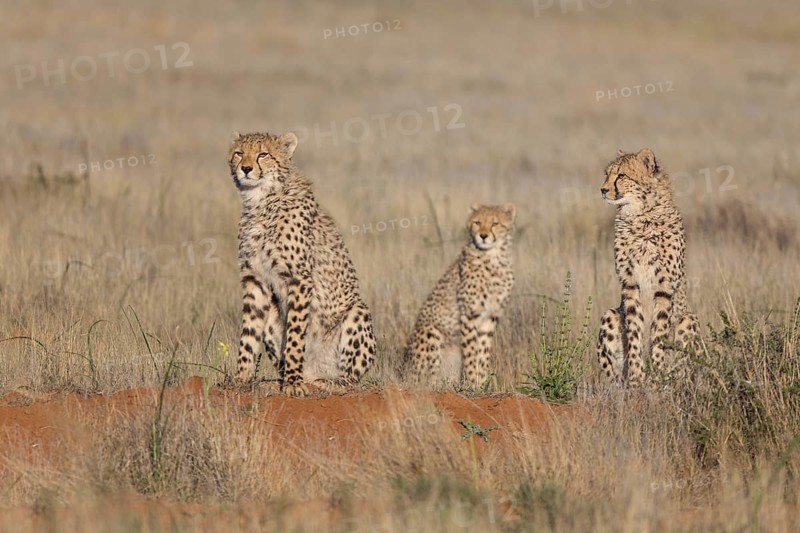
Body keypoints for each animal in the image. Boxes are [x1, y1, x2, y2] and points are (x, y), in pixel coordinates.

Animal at [229, 131, 376, 397]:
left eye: (263, 154)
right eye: (238, 153)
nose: (245, 168)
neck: (261, 200)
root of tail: (315, 373)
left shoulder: (299, 279)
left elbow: (296, 336)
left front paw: (293, 384)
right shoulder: (255, 279)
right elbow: (248, 334)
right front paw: (241, 380)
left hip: (357, 312)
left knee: (350, 379)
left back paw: (328, 384)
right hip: (273, 316)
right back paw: (275, 382)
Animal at [405, 203, 516, 389]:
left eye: (495, 223)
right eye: (477, 222)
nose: (483, 236)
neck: (493, 257)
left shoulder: (490, 316)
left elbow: (482, 353)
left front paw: (481, 383)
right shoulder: (469, 314)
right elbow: (471, 352)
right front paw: (472, 384)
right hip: (431, 333)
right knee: (424, 381)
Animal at [597, 148, 698, 386]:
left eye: (621, 175)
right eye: (607, 174)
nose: (603, 190)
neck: (640, 216)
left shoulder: (664, 287)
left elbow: (658, 335)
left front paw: (657, 376)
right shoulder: (630, 284)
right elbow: (635, 333)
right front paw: (637, 378)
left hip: (689, 318)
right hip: (609, 315)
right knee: (611, 376)